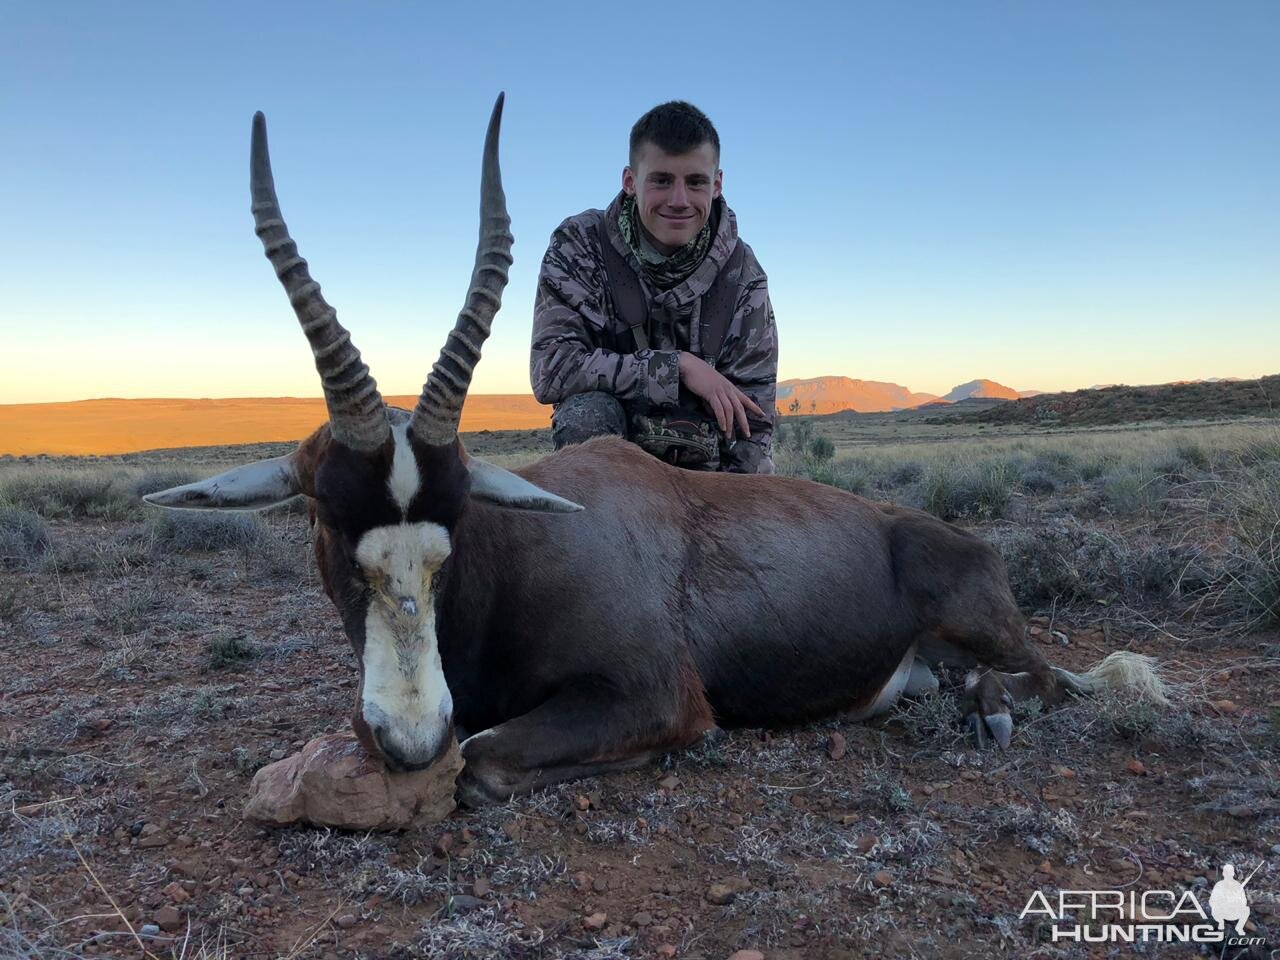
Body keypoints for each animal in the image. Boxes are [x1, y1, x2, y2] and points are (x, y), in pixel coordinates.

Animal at [145, 96, 1167, 803]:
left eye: (456, 523)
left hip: (995, 641)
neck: (518, 557)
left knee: (1052, 681)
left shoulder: (652, 697)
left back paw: (989, 706)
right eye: (325, 518)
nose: (408, 738)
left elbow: (482, 758)